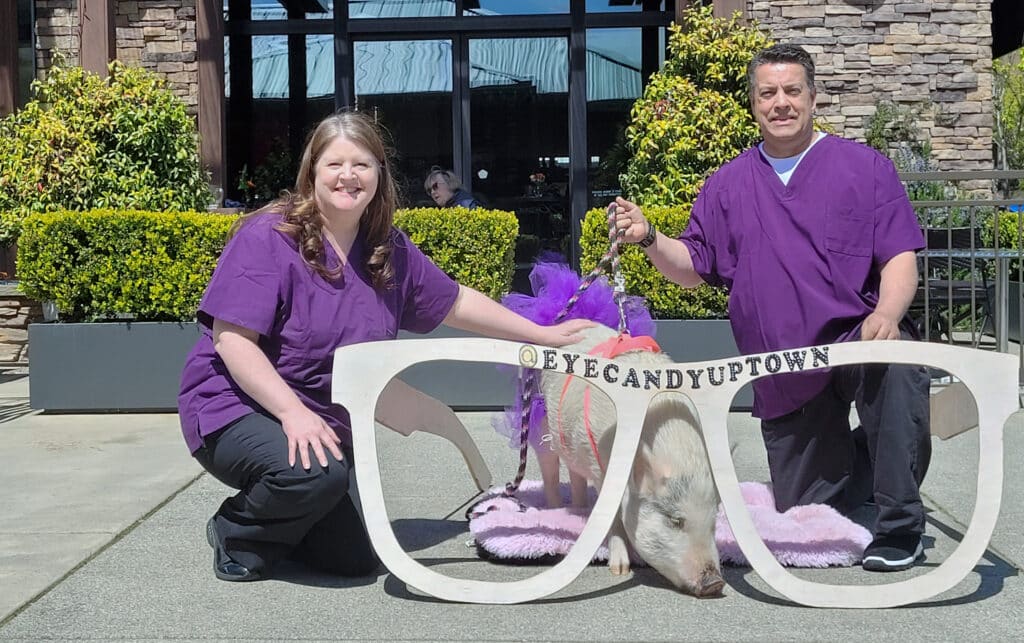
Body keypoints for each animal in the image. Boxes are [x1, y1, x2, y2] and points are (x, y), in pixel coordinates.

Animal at [532, 325, 724, 597]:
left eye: (713, 520)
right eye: (675, 520)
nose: (715, 583)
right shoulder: (600, 466)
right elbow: (612, 516)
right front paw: (620, 570)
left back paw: (580, 508)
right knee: (553, 469)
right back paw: (559, 508)